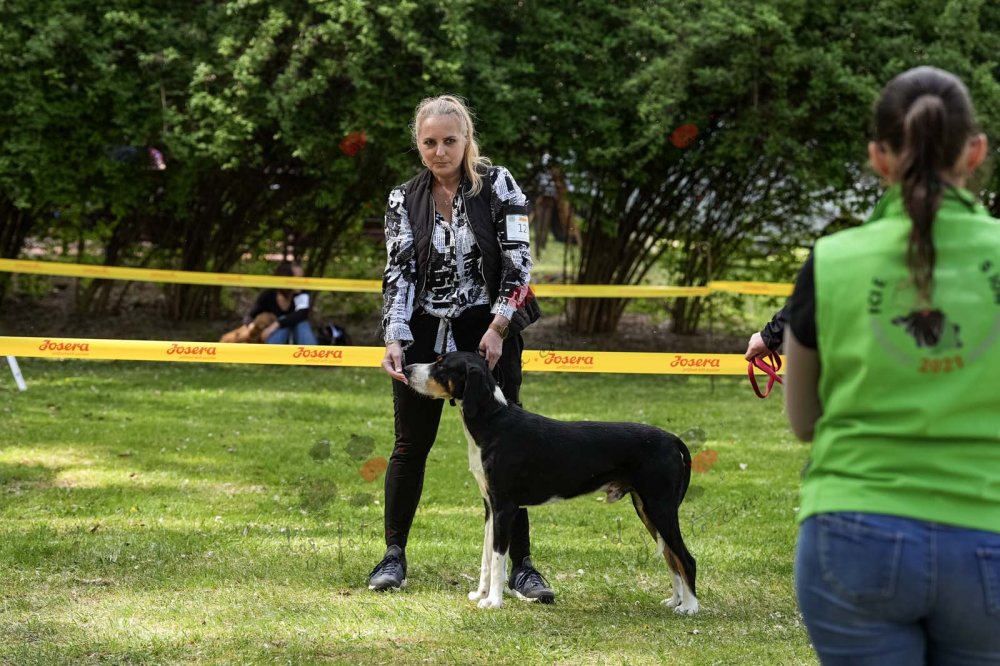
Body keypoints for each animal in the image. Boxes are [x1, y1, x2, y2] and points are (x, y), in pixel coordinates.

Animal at [404, 351, 698, 613]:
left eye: (441, 365)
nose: (406, 369)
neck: (493, 424)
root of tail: (674, 440)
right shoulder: (490, 506)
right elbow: (486, 559)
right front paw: (480, 594)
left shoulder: (505, 507)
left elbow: (498, 559)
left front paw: (493, 602)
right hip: (646, 509)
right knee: (672, 558)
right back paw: (675, 601)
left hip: (660, 508)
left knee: (686, 559)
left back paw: (689, 607)